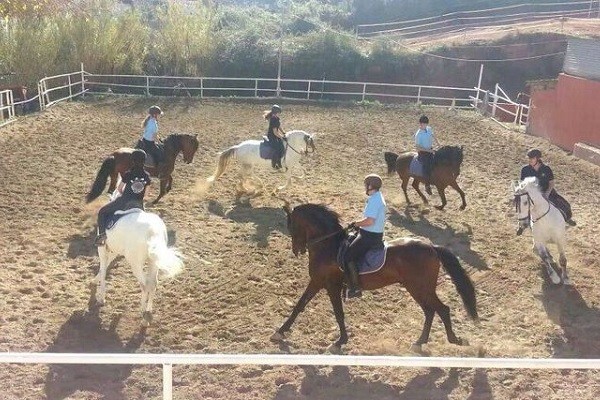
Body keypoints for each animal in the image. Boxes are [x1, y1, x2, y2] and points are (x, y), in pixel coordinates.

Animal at [272, 203, 478, 354]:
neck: (328, 246)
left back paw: (454, 340)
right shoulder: (317, 282)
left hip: (421, 287)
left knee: (442, 309)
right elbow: (299, 305)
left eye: (291, 226)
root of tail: (432, 247)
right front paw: (280, 332)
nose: (297, 250)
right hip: (416, 288)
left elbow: (338, 313)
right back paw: (419, 343)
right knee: (430, 311)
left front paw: (339, 342)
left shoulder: (331, 285)